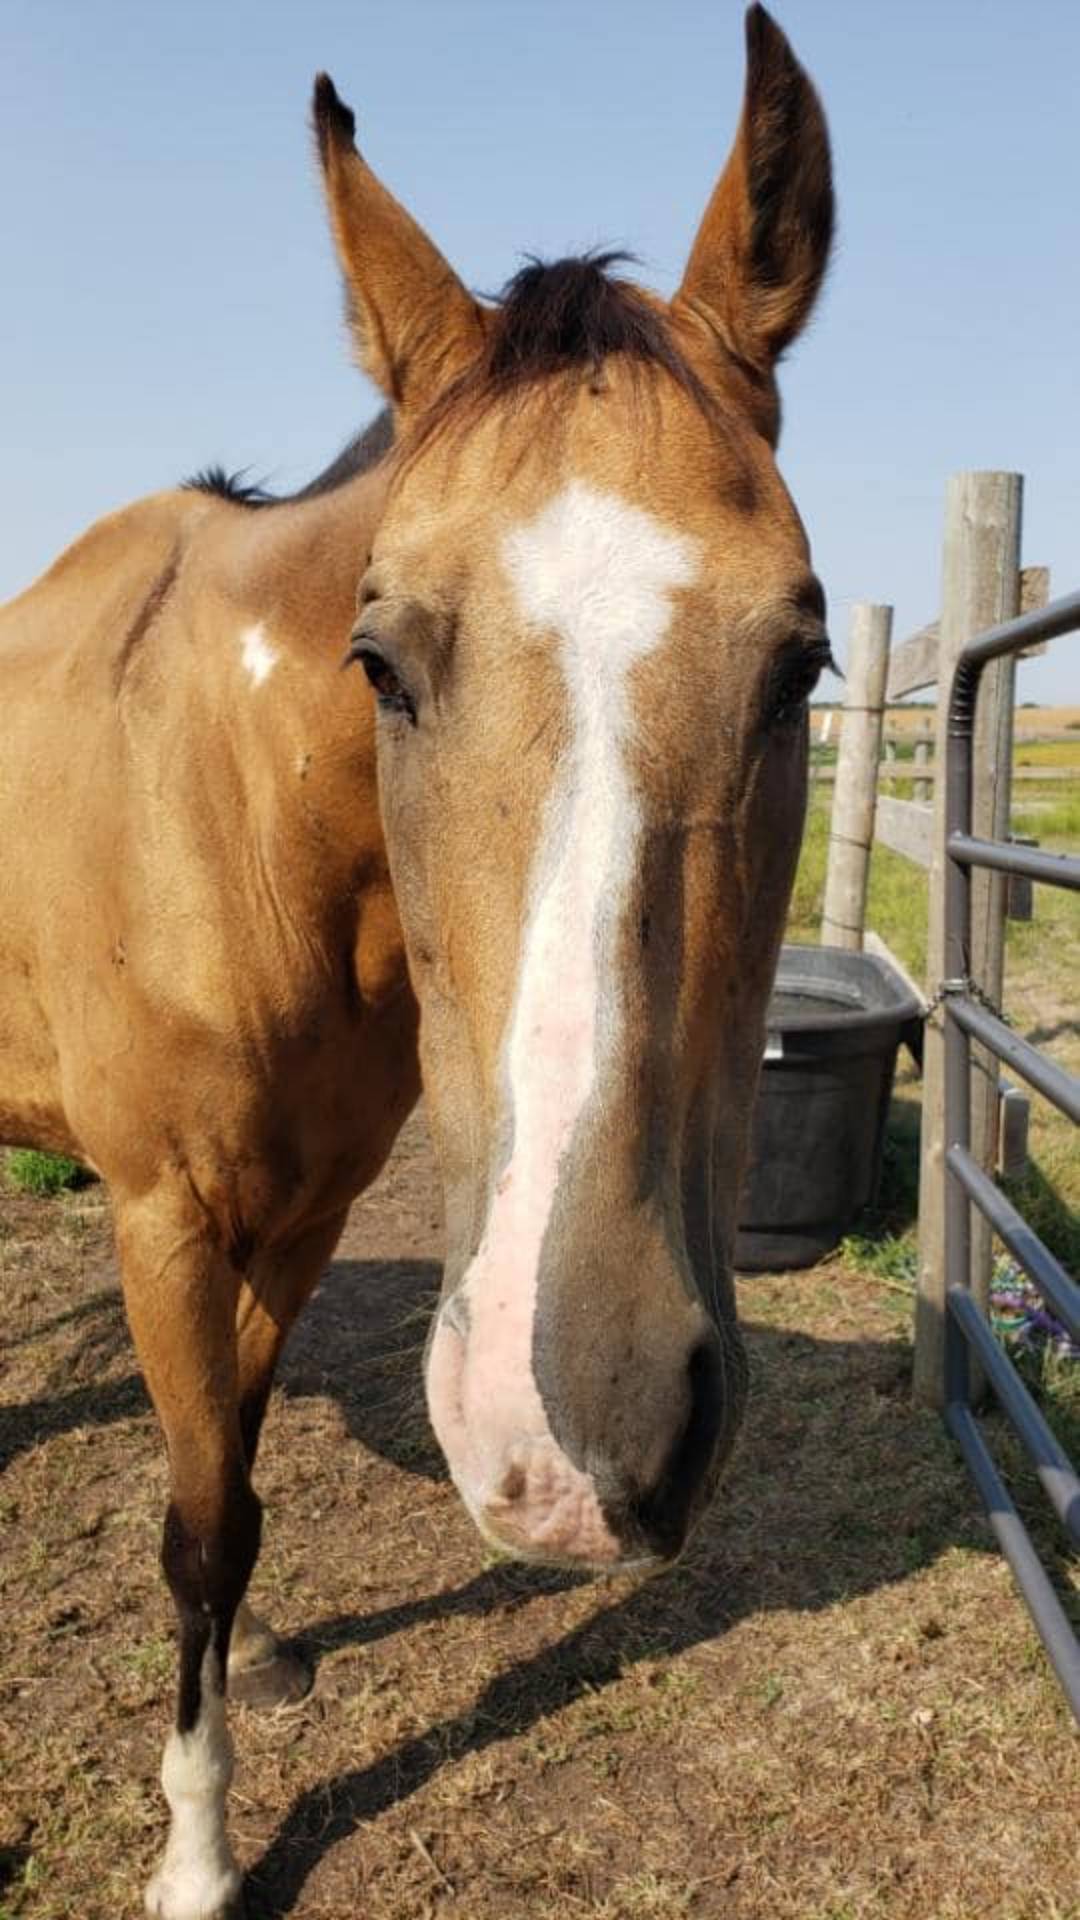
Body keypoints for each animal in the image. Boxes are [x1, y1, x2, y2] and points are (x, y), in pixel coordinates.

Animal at [1, 8, 833, 1915]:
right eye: (378, 660)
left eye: (803, 662)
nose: (583, 1433)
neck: (224, 807)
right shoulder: (162, 1218)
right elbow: (199, 1525)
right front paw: (196, 1852)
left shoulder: (301, 1214)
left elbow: (232, 1494)